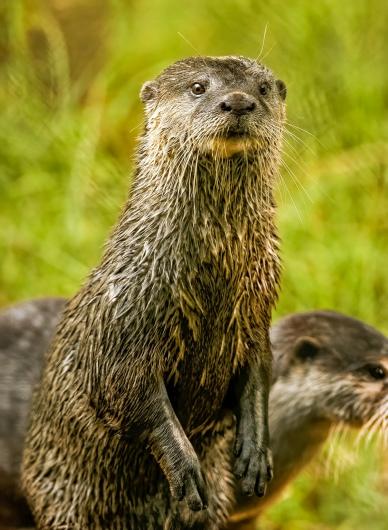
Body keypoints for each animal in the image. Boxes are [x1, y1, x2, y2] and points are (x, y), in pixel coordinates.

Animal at [22, 57, 288, 528]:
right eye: (198, 87)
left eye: (262, 88)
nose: (238, 101)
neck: (212, 280)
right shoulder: (124, 325)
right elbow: (131, 394)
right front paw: (184, 467)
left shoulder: (255, 320)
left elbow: (259, 373)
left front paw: (256, 455)